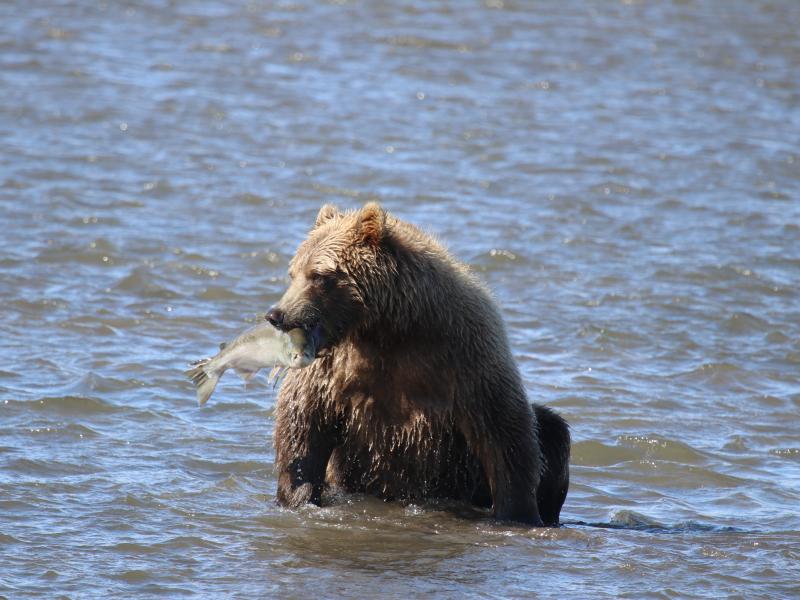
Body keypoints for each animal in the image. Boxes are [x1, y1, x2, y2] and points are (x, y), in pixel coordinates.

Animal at [267, 202, 570, 526]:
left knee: (552, 431)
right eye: (293, 272)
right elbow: (303, 423)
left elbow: (503, 431)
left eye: (319, 275)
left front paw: (518, 512)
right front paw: (298, 496)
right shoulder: (331, 369)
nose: (277, 314)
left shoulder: (465, 354)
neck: (384, 329)